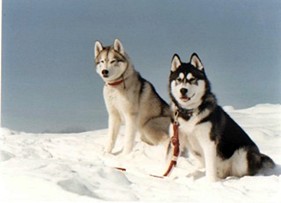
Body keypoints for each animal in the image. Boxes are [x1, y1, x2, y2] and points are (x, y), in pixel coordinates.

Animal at [168, 52, 274, 181]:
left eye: (192, 79)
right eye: (178, 79)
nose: (183, 90)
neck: (189, 113)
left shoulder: (209, 143)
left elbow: (210, 170)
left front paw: (210, 183)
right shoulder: (176, 141)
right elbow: (169, 162)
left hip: (242, 156)